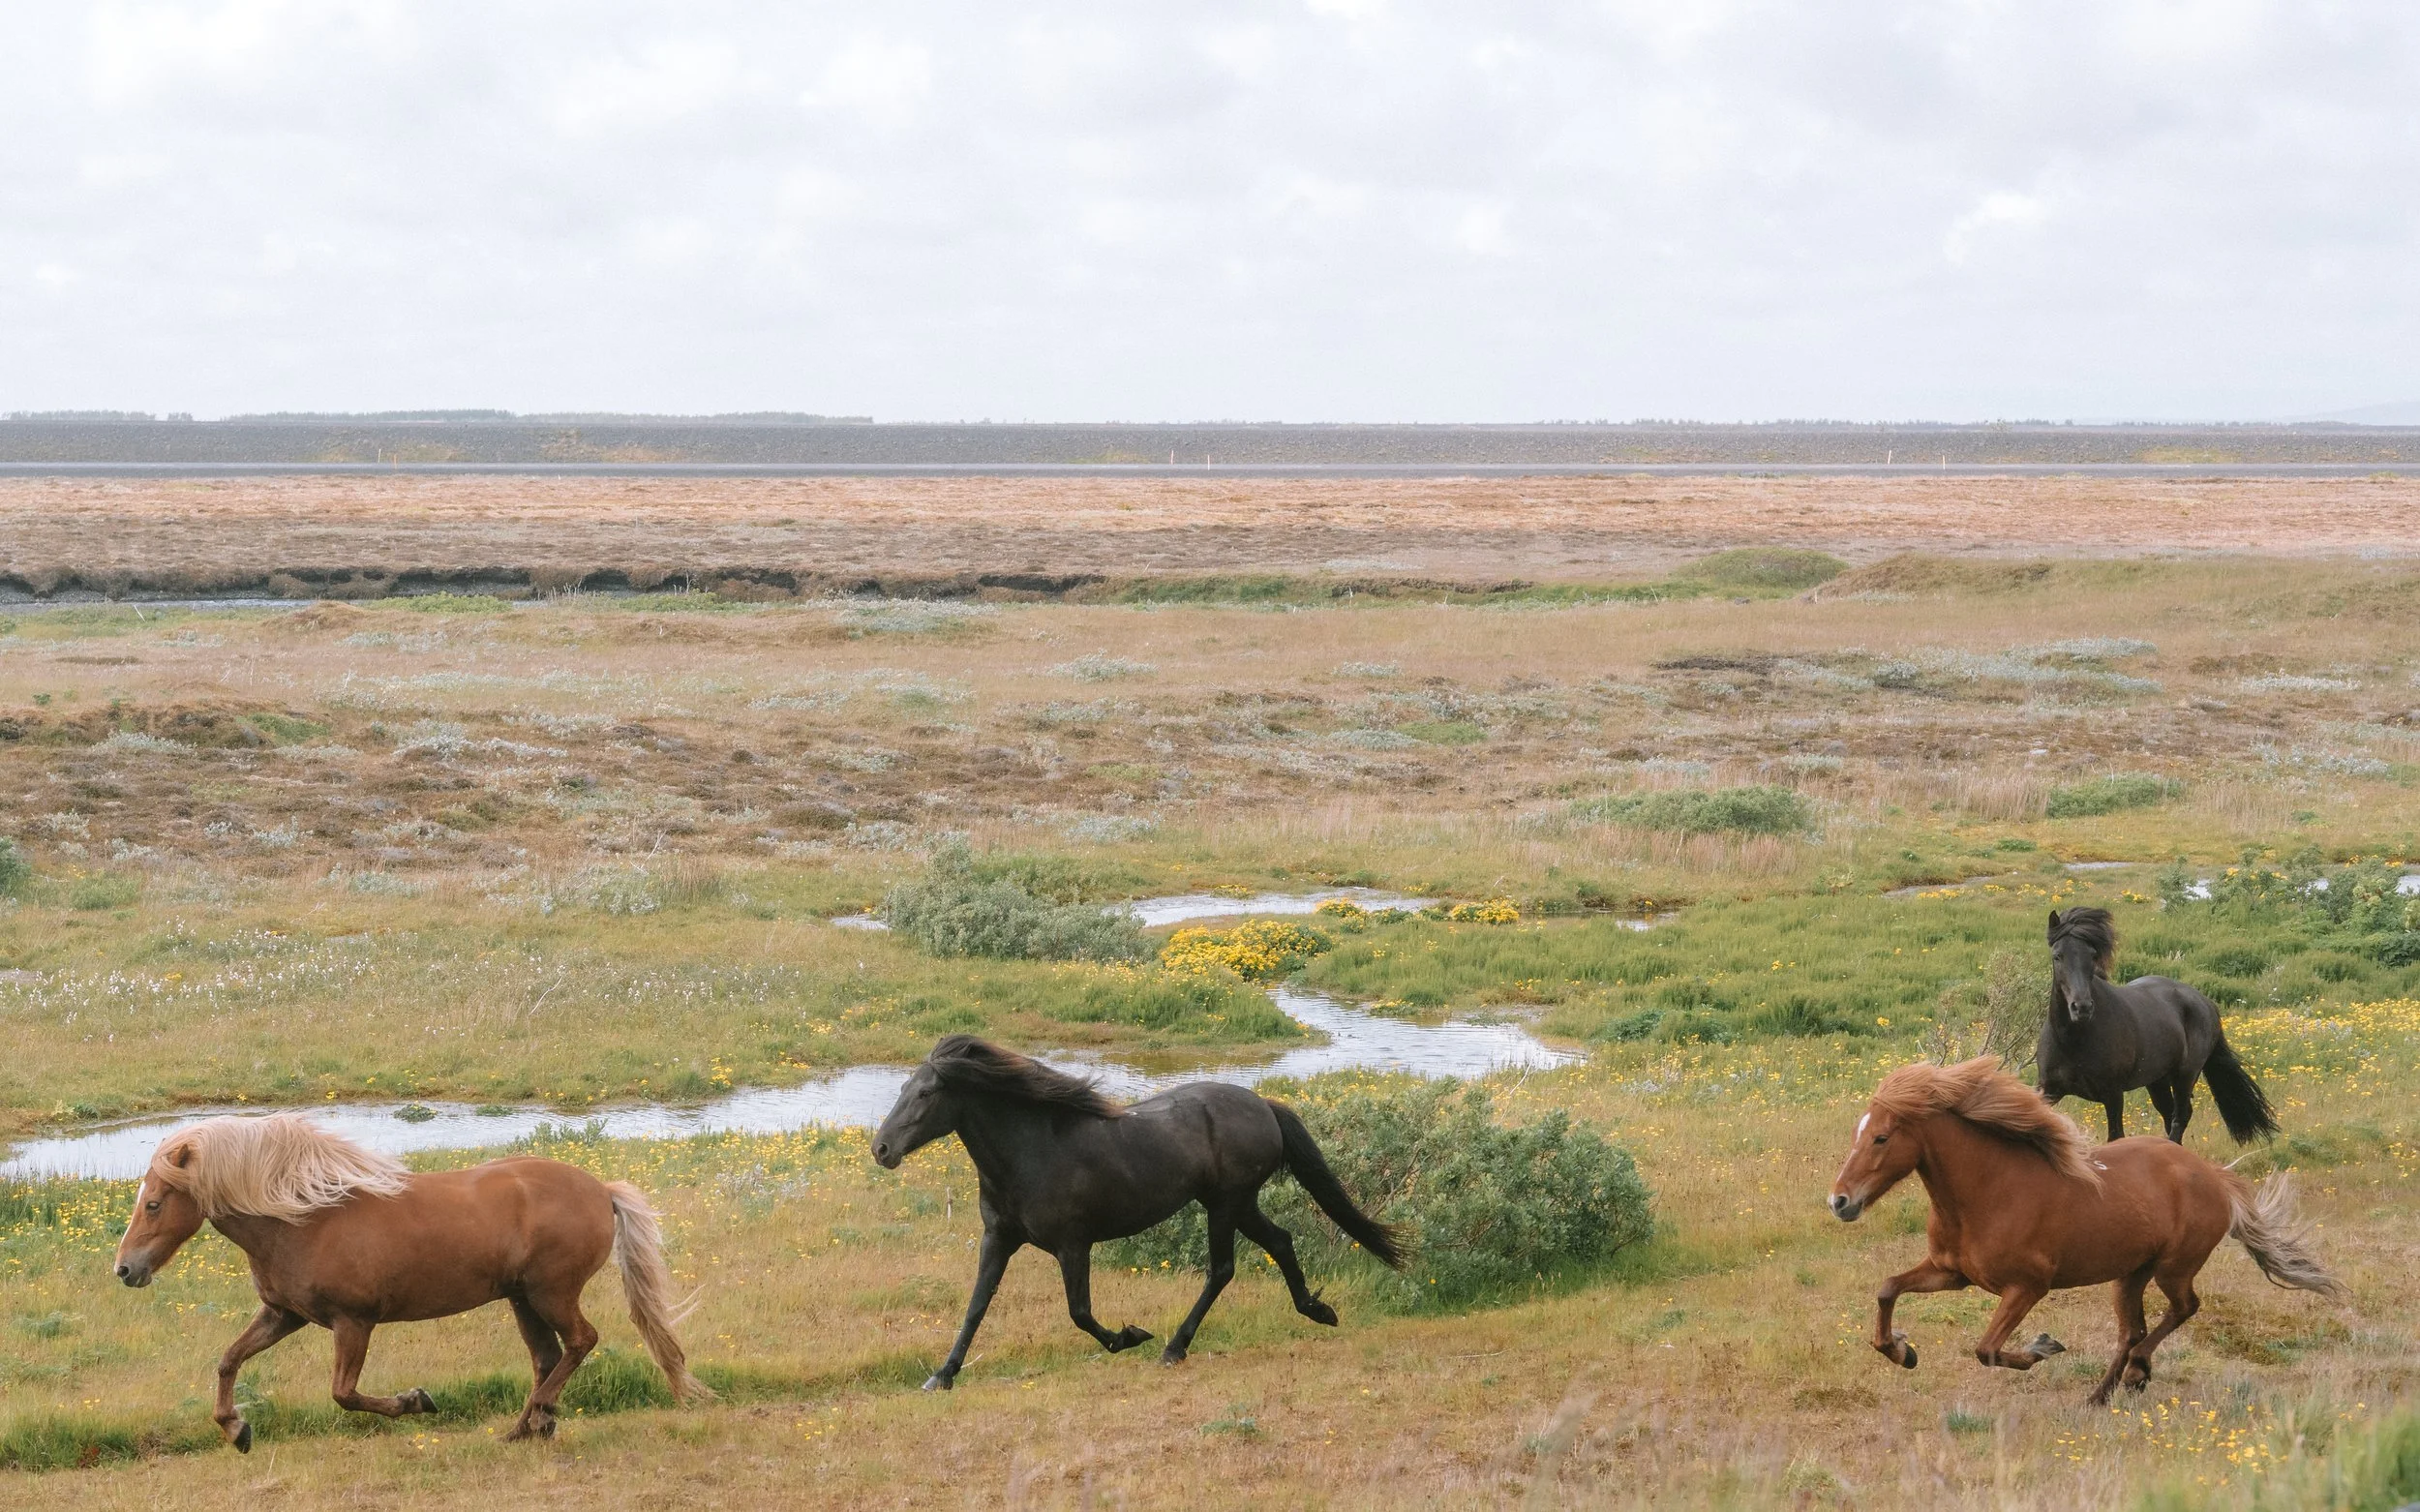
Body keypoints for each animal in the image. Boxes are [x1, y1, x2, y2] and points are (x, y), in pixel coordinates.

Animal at [112, 1113, 709, 1450]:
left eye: (155, 1203)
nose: (125, 1269)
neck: (303, 1219)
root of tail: (601, 1190)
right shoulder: (285, 1315)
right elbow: (229, 1360)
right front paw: (236, 1431)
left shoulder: (353, 1323)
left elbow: (344, 1393)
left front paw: (417, 1402)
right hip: (522, 1298)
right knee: (548, 1357)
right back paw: (525, 1428)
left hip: (551, 1292)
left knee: (581, 1342)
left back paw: (540, 1416)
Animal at [870, 1034, 1405, 1390]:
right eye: (903, 1087)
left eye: (925, 1094)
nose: (881, 1149)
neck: (1032, 1152)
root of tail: (1263, 1105)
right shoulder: (998, 1238)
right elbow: (977, 1305)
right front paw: (942, 1376)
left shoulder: (1072, 1245)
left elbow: (1080, 1313)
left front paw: (1131, 1335)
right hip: (1237, 1203)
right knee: (1280, 1241)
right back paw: (1318, 1311)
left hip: (1227, 1204)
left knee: (1222, 1269)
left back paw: (1173, 1347)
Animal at [1829, 1057, 2342, 1404]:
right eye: (1857, 1133)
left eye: (1881, 1137)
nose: (1840, 1202)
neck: (1987, 1192)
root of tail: (2216, 1178)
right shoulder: (1950, 1273)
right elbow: (1886, 1289)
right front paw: (1901, 1350)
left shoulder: (2028, 1286)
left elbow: (1987, 1349)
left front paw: (2042, 1347)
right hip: (2130, 1274)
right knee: (2133, 1330)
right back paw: (2103, 1394)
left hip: (2173, 1268)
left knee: (2182, 1309)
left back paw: (2134, 1375)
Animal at [2038, 907, 2278, 1144]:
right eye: (2057, 956)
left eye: (2093, 955)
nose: (2082, 1007)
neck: (2073, 1040)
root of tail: (2206, 1002)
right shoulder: (2048, 1090)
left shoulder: (2113, 1095)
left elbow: (2116, 1137)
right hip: (2157, 1081)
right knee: (2169, 1115)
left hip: (2185, 1076)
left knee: (2180, 1117)